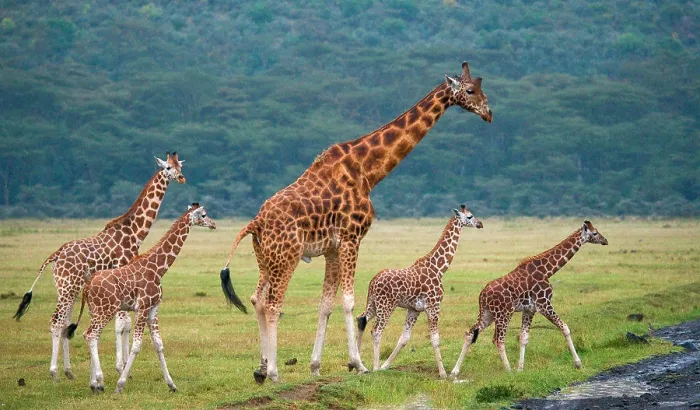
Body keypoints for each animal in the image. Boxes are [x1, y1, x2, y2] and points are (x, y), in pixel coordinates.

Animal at [13, 152, 185, 380]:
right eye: (167, 167)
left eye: (179, 166)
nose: (182, 178)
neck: (134, 233)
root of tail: (56, 255)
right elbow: (122, 324)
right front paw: (121, 368)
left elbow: (124, 324)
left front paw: (123, 370)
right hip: (68, 286)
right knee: (56, 321)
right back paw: (55, 373)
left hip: (68, 287)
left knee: (65, 321)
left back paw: (69, 372)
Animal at [73, 203, 216, 393]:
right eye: (204, 214)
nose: (213, 224)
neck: (158, 269)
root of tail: (87, 286)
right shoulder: (143, 307)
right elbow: (137, 345)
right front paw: (120, 384)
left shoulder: (153, 309)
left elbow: (159, 344)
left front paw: (172, 384)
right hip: (106, 310)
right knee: (90, 335)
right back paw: (100, 382)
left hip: (94, 310)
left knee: (91, 336)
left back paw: (93, 383)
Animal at [356, 205, 483, 378]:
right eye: (470, 216)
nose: (480, 224)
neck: (439, 269)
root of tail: (372, 282)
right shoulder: (434, 306)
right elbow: (435, 338)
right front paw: (443, 373)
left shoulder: (414, 309)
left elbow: (404, 338)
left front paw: (385, 366)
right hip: (386, 306)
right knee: (376, 331)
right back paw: (373, 367)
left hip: (372, 303)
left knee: (361, 320)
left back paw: (358, 365)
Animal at [449, 220, 609, 378]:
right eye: (595, 233)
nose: (605, 241)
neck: (547, 271)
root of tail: (482, 295)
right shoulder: (544, 304)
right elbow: (565, 327)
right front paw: (578, 363)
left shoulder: (529, 310)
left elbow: (524, 337)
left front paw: (520, 368)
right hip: (504, 313)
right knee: (498, 340)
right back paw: (508, 370)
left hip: (487, 314)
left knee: (470, 333)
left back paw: (454, 372)